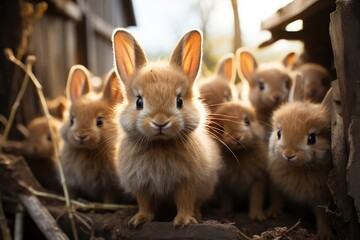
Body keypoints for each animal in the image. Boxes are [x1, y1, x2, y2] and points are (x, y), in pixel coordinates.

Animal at [60, 65, 124, 202]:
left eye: (99, 122)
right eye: (71, 120)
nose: (81, 136)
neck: (86, 150)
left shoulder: (110, 187)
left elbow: (109, 198)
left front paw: (107, 205)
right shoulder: (71, 182)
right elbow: (72, 192)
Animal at [112, 27, 222, 227]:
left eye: (179, 101)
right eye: (139, 102)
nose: (160, 121)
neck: (160, 144)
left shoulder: (187, 183)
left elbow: (185, 201)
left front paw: (183, 221)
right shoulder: (141, 185)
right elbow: (144, 203)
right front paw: (138, 220)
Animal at [268, 74, 334, 239]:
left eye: (312, 138)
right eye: (279, 133)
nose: (288, 155)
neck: (297, 169)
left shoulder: (320, 197)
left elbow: (322, 215)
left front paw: (324, 234)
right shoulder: (277, 187)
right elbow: (277, 199)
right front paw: (272, 212)